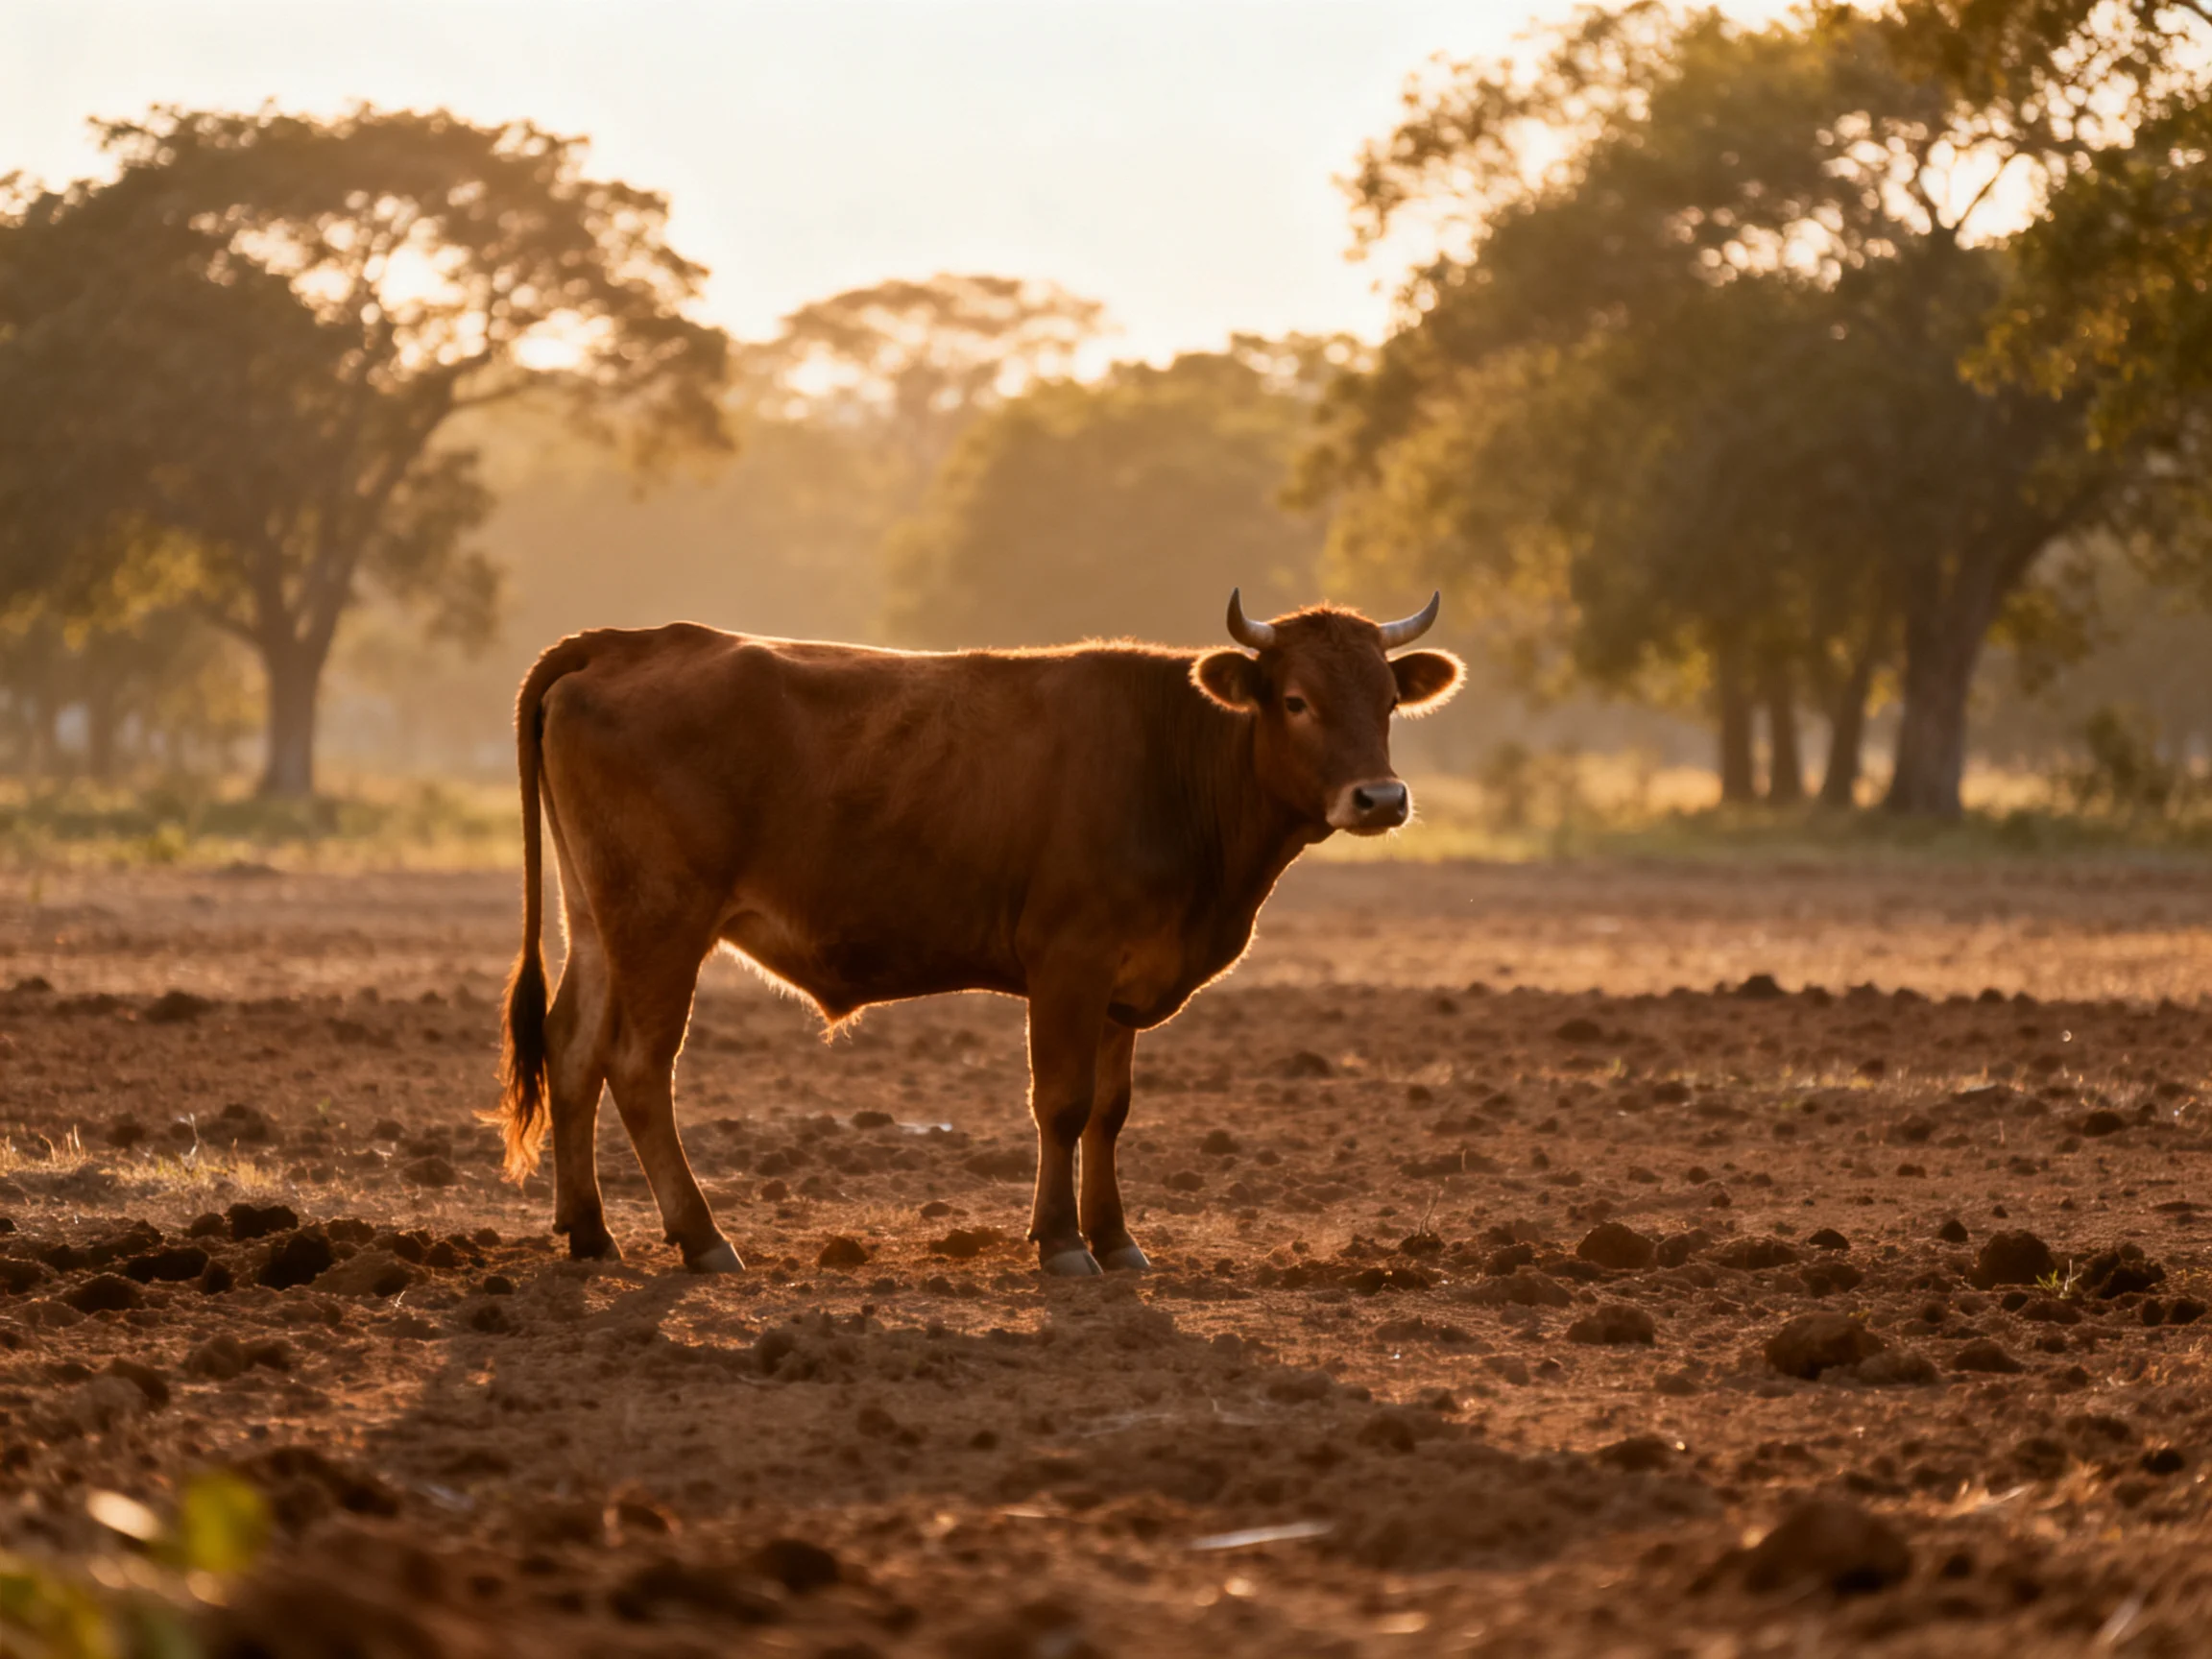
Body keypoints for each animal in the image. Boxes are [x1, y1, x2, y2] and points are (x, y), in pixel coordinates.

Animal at [492, 591, 1462, 1276]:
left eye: (1387, 699)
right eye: (1295, 700)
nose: (1380, 798)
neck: (1171, 761)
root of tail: (629, 639)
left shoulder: (1121, 980)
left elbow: (1110, 1111)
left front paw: (1116, 1240)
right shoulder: (1068, 960)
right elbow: (1062, 1103)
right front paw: (1062, 1243)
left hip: (598, 920)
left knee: (573, 1050)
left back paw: (590, 1231)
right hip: (662, 920)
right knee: (637, 1068)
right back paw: (701, 1238)